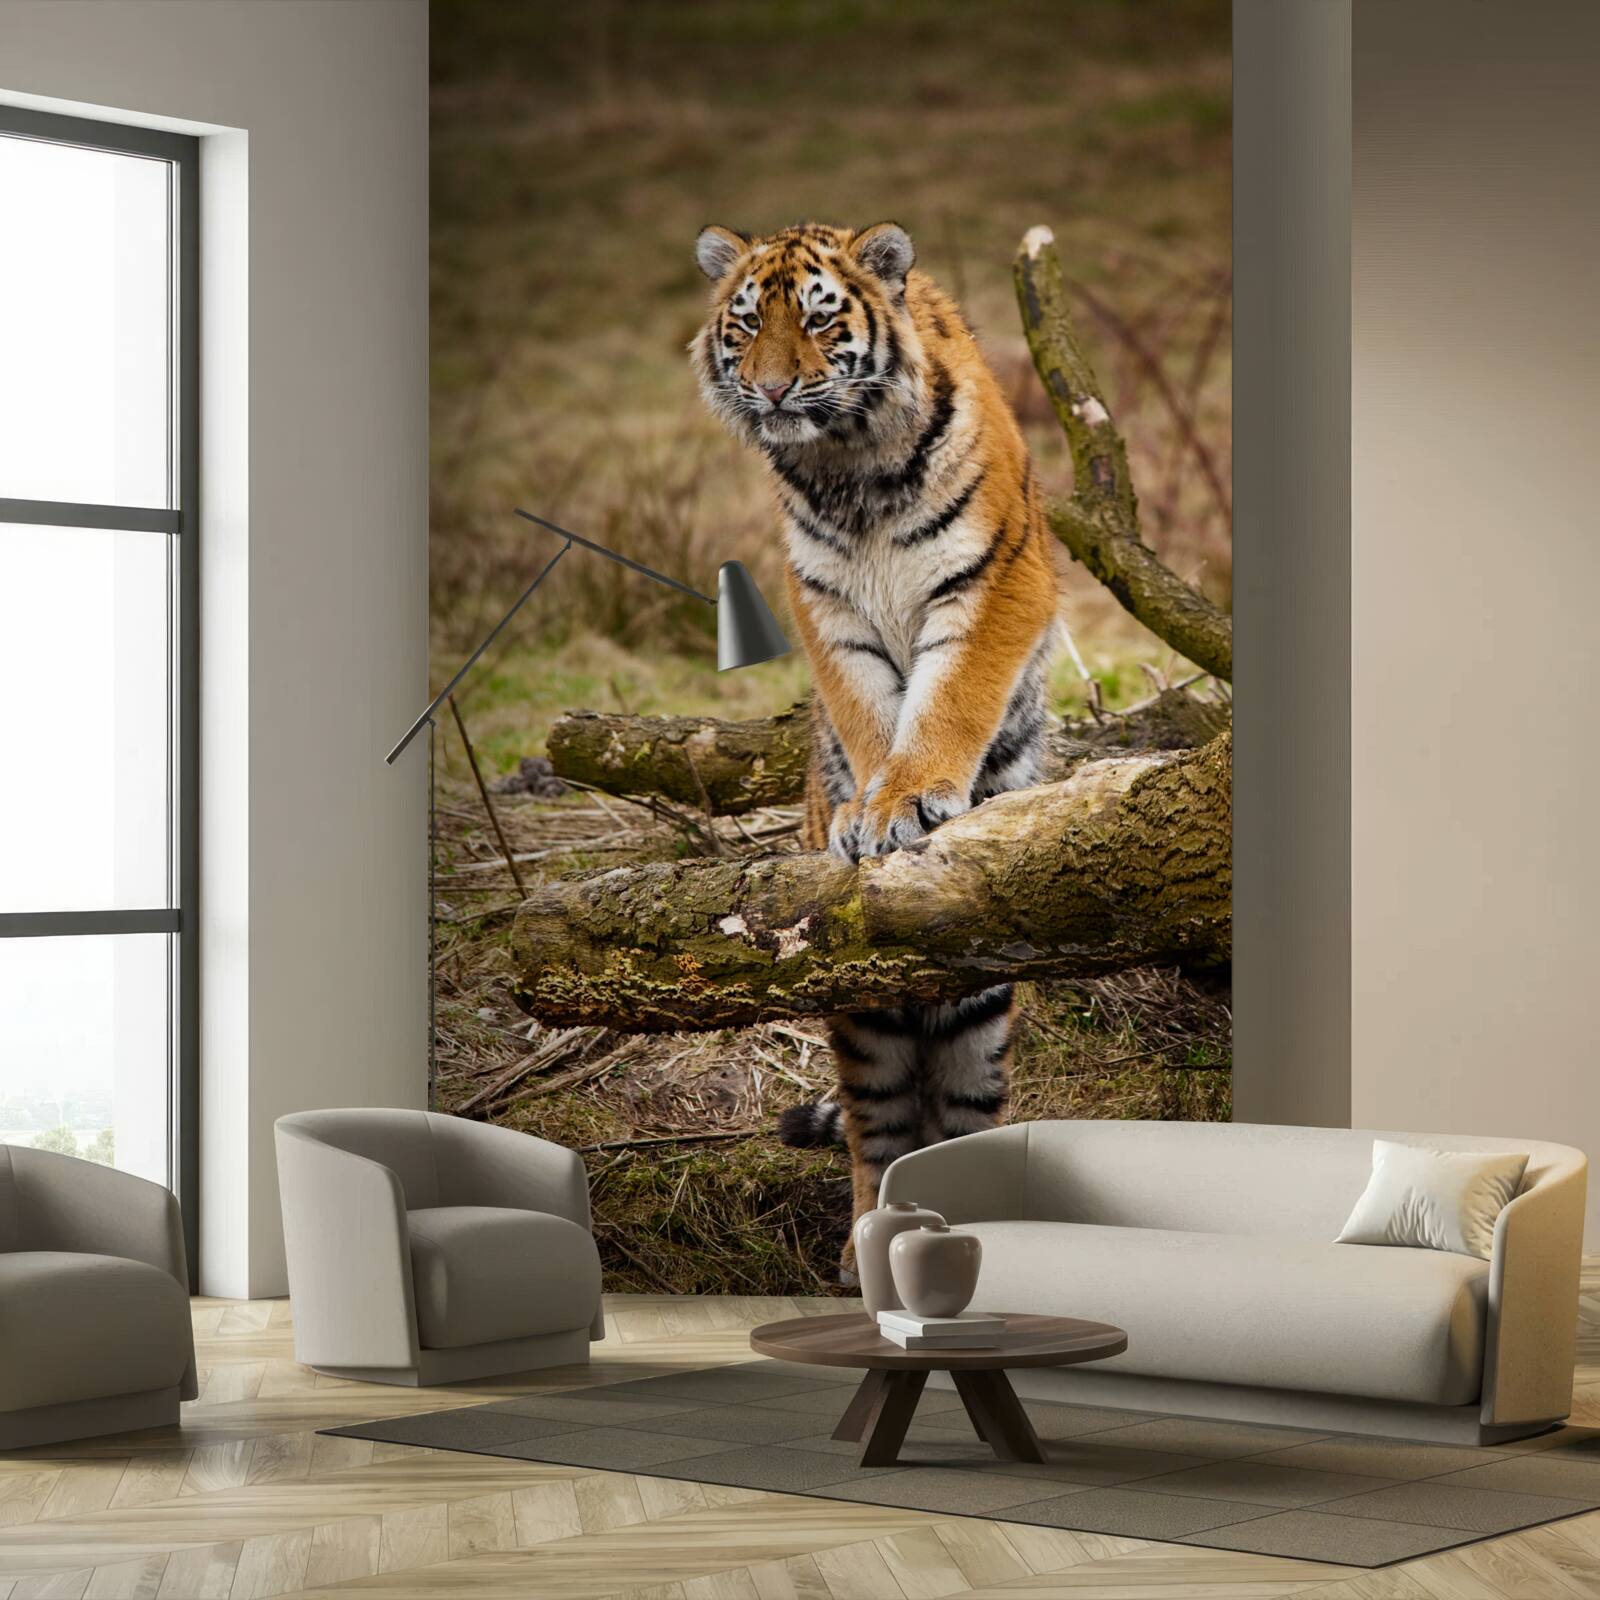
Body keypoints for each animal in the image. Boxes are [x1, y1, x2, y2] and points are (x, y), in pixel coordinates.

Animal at [690, 221, 1061, 1277]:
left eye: (819, 319)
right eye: (746, 325)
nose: (775, 391)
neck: (846, 465)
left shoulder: (996, 575)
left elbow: (950, 698)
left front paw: (911, 798)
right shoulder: (825, 602)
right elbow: (867, 713)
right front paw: (867, 809)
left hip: (981, 1011)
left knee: (962, 1125)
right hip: (861, 1018)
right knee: (880, 1137)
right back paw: (872, 1248)